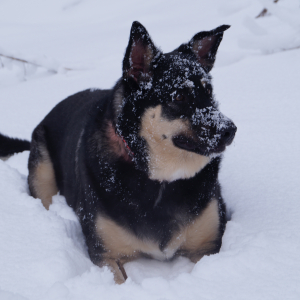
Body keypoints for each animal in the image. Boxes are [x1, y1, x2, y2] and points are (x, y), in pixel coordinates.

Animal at [1, 21, 237, 284]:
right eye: (179, 96)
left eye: (209, 91)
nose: (230, 130)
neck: (159, 179)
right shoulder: (106, 255)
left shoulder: (207, 248)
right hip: (42, 173)